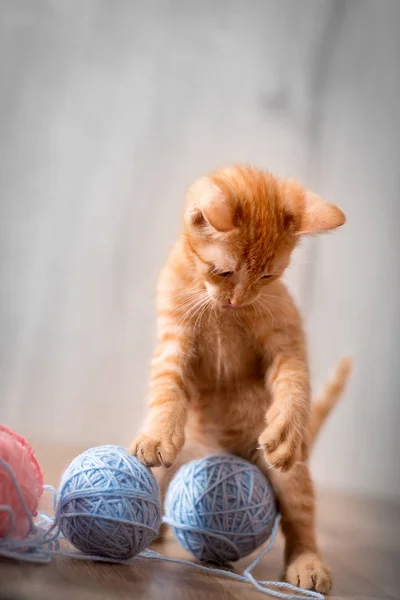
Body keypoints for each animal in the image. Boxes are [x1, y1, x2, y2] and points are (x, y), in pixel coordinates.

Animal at [131, 165, 346, 596]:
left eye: (267, 275)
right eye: (224, 271)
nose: (237, 300)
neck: (221, 312)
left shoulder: (287, 342)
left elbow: (296, 382)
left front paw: (288, 426)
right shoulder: (173, 338)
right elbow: (167, 387)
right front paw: (159, 434)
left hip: (290, 477)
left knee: (301, 521)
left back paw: (308, 563)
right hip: (174, 465)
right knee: (158, 486)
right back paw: (155, 528)